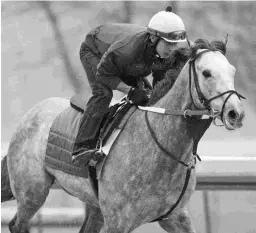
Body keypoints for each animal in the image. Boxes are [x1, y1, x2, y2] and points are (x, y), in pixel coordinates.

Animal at [1, 38, 246, 233]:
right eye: (207, 73)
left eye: (233, 71)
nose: (236, 113)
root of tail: (32, 113)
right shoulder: (118, 221)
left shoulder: (175, 216)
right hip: (33, 191)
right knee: (18, 224)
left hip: (93, 206)